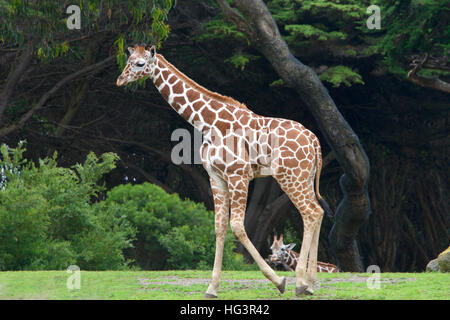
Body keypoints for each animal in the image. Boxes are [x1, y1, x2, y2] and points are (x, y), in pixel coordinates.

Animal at [116, 43, 334, 296]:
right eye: (128, 60)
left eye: (140, 64)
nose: (120, 80)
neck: (209, 124)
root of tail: (315, 142)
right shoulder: (216, 177)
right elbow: (219, 227)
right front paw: (212, 287)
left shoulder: (238, 175)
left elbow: (237, 226)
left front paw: (278, 281)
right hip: (304, 177)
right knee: (317, 211)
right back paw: (311, 283)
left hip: (290, 176)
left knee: (310, 212)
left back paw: (300, 283)